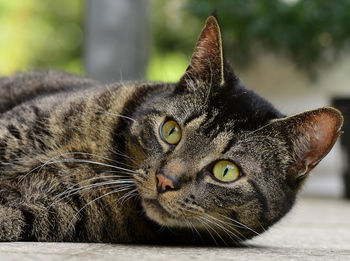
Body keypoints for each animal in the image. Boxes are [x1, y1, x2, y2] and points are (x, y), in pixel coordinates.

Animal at [0, 15, 344, 244]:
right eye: (171, 131)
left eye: (226, 171)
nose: (165, 180)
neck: (106, 157)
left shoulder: (61, 211)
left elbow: (14, 217)